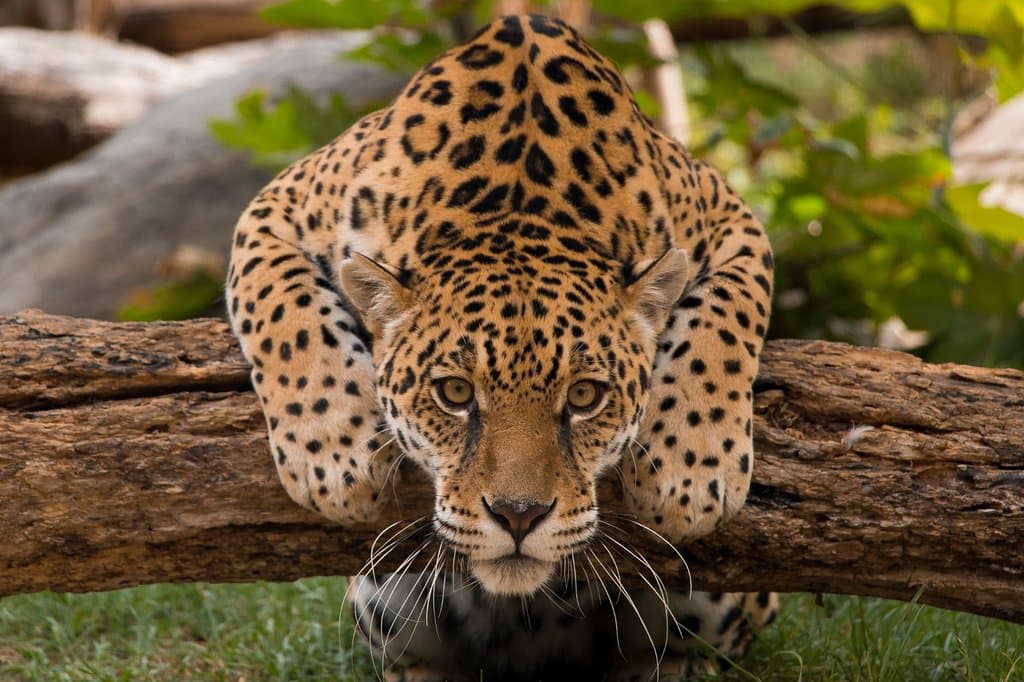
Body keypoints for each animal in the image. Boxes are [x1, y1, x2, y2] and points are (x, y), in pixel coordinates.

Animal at [226, 14, 776, 681]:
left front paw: (691, 471)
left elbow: (727, 316)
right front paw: (332, 455)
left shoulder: (734, 221)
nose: (519, 516)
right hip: (381, 595)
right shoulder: (275, 207)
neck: (519, 199)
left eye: (585, 396)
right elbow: (283, 306)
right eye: (455, 393)